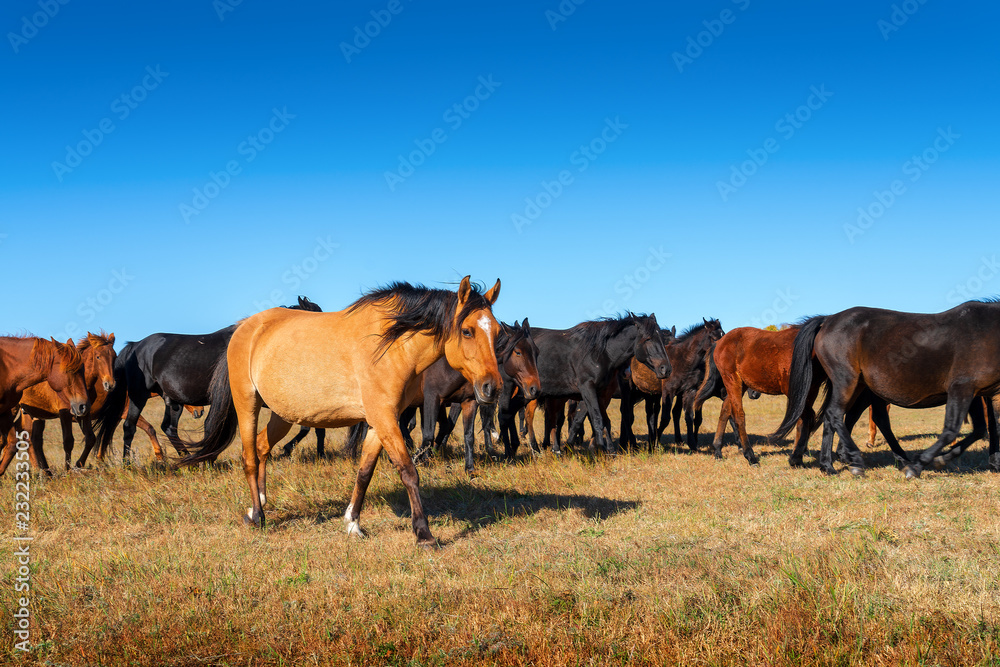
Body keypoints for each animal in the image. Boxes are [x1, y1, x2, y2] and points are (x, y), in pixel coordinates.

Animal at [18, 332, 116, 470]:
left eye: (114, 357)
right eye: (98, 357)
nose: (110, 384)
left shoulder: (84, 411)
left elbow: (90, 438)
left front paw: (78, 464)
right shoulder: (65, 412)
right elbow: (68, 441)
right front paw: (68, 470)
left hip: (34, 414)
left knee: (35, 441)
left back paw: (46, 471)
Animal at [178, 280, 500, 544]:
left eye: (497, 332)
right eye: (467, 331)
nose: (492, 388)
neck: (390, 345)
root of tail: (245, 326)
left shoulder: (382, 421)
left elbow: (364, 472)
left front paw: (353, 523)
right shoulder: (385, 419)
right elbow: (408, 471)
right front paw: (424, 534)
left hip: (282, 415)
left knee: (261, 449)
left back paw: (260, 500)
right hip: (248, 403)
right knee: (248, 457)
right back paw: (257, 515)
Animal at [776, 302, 1000, 480]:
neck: (988, 331)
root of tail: (828, 319)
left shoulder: (979, 393)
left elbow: (982, 428)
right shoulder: (961, 388)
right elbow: (951, 430)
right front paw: (919, 466)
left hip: (857, 386)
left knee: (838, 417)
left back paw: (827, 465)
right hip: (847, 381)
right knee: (835, 414)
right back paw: (853, 462)